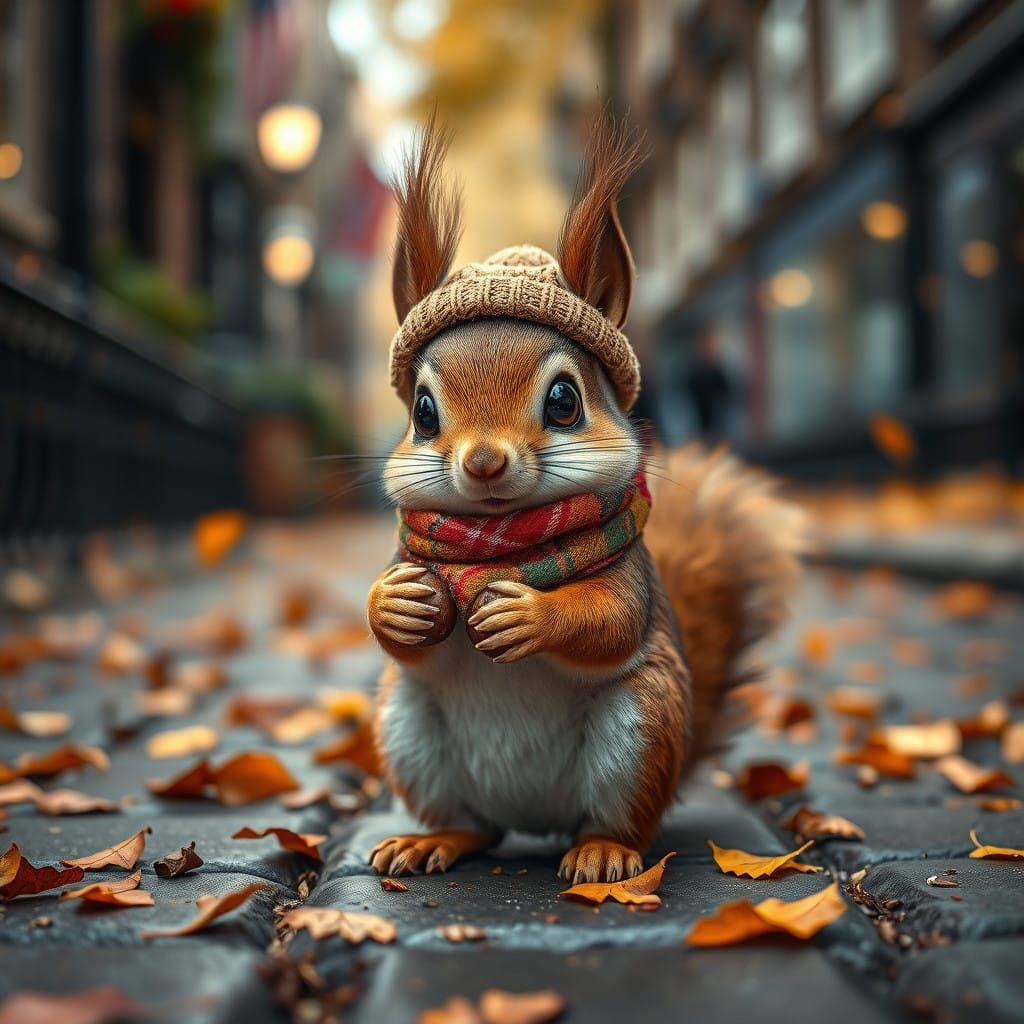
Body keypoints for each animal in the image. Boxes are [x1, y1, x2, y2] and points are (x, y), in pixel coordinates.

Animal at [366, 119, 803, 884]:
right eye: (421, 411)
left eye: (565, 400)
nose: (483, 461)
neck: (497, 547)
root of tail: (536, 819)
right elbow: (393, 632)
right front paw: (396, 602)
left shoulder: (632, 581)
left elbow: (611, 621)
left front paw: (528, 615)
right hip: (407, 727)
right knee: (474, 827)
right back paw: (430, 841)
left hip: (643, 725)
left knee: (619, 823)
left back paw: (602, 853)